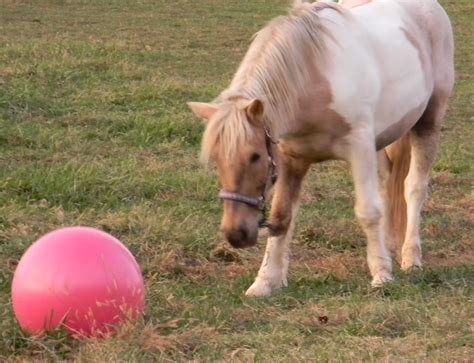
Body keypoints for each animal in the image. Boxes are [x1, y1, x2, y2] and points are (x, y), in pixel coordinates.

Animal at [187, 0, 454, 298]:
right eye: (216, 161)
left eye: (255, 156)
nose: (236, 234)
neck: (313, 80)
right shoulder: (291, 159)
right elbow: (281, 218)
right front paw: (265, 281)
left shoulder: (359, 149)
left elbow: (368, 211)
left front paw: (382, 275)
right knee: (387, 186)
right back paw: (390, 247)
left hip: (428, 122)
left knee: (414, 189)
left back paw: (411, 258)